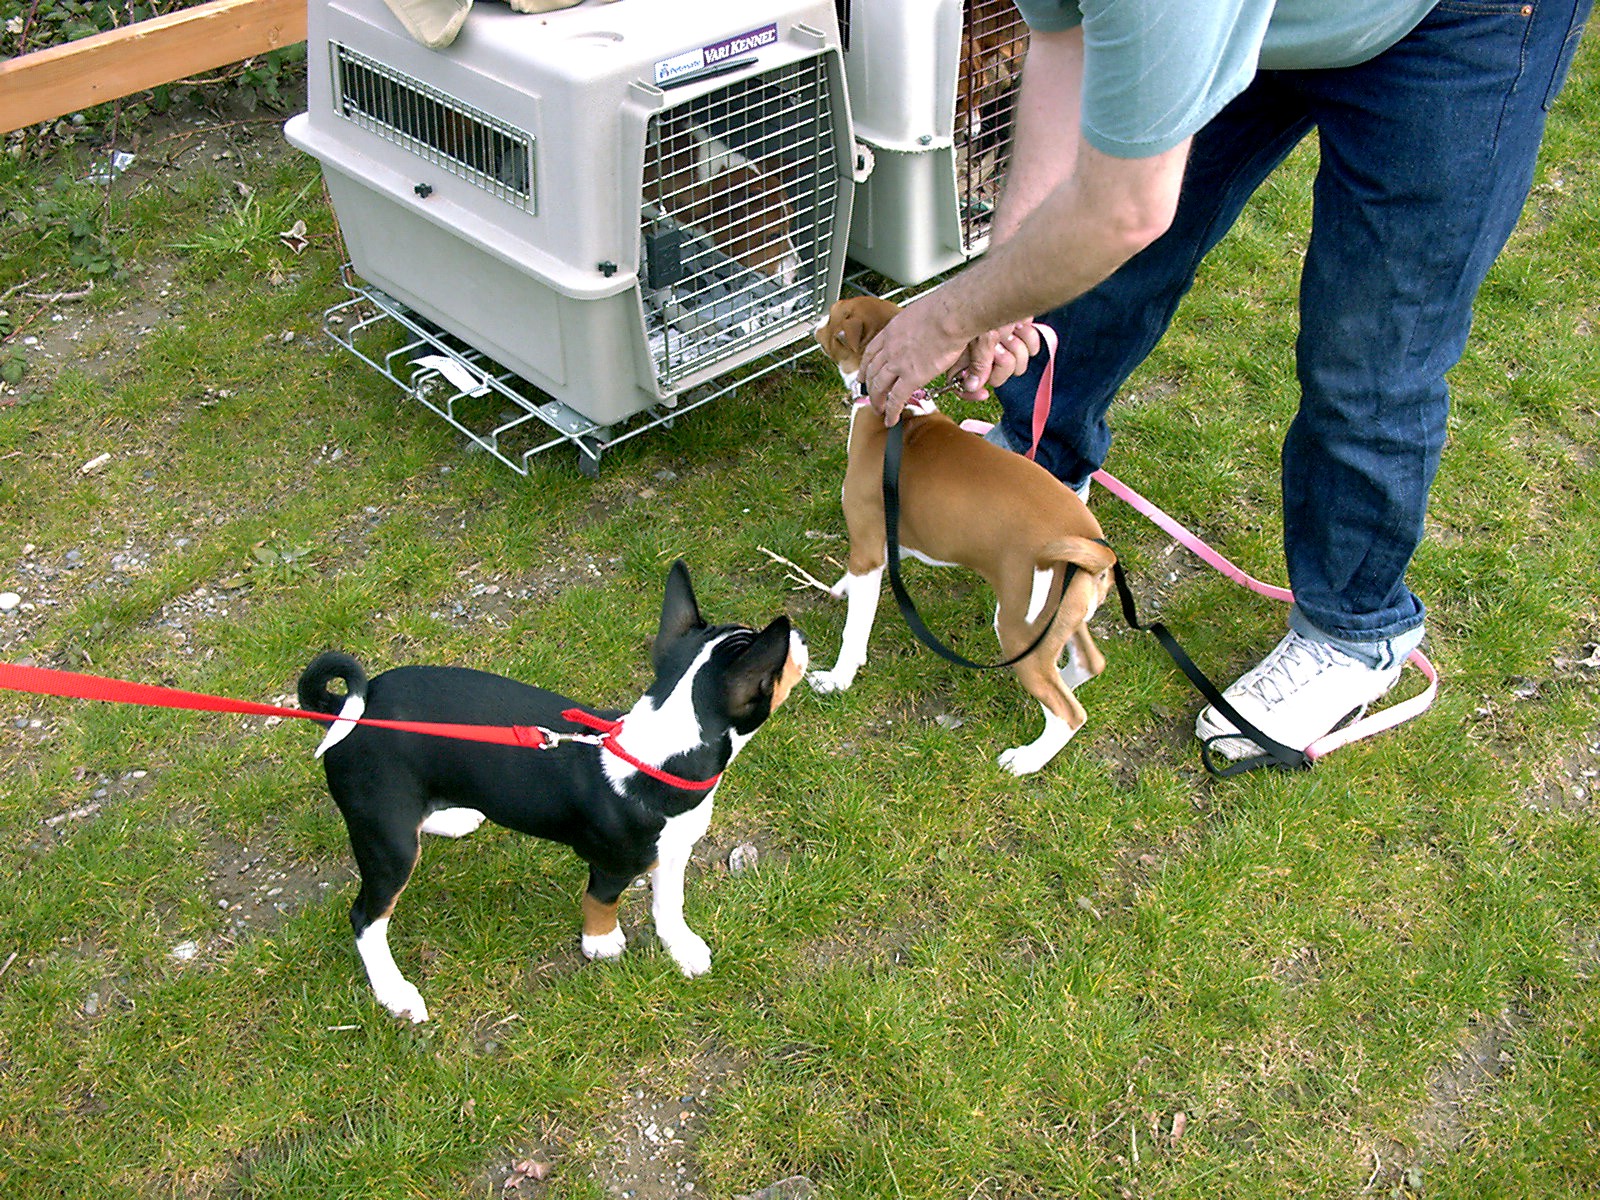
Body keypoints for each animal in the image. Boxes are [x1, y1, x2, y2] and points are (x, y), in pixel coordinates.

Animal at [297, 560, 807, 1022]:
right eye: (781, 661)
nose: (800, 635)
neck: (656, 756)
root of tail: (349, 708)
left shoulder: (672, 849)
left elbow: (670, 904)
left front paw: (681, 948)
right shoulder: (613, 863)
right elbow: (602, 901)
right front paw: (602, 943)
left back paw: (451, 816)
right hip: (388, 843)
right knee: (366, 920)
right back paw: (395, 993)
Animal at [808, 296, 1116, 776]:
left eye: (836, 322)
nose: (816, 319)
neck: (899, 415)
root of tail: (1092, 544)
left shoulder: (868, 545)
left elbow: (854, 630)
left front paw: (838, 679)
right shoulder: (882, 545)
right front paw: (843, 588)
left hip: (1019, 624)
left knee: (1068, 713)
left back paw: (1025, 760)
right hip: (1060, 620)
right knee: (1085, 664)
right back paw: (1054, 681)